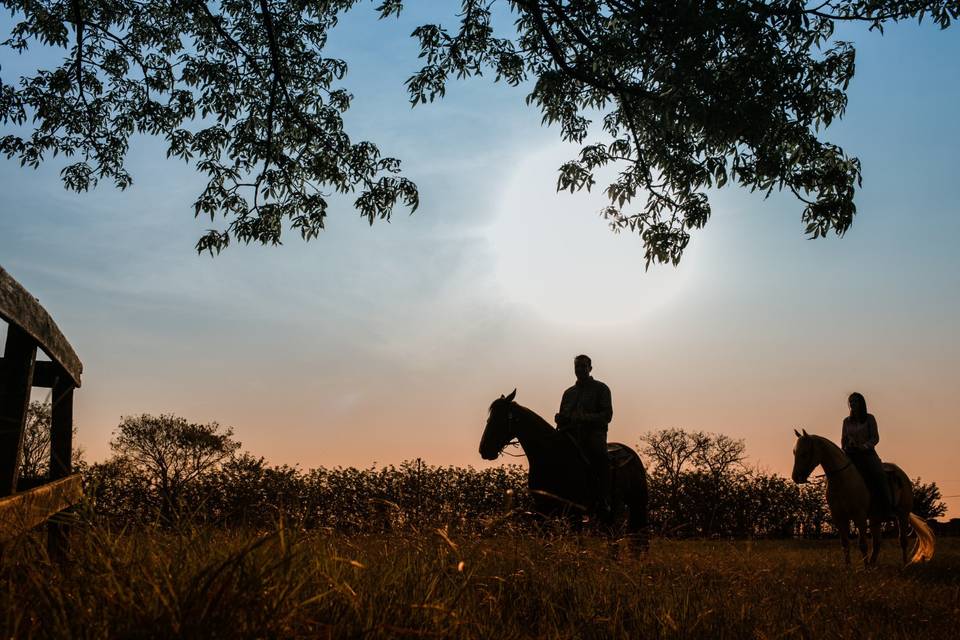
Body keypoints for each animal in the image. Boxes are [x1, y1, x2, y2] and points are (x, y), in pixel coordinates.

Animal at [478, 388, 648, 544]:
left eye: (500, 419)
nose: (484, 449)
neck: (553, 456)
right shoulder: (543, 511)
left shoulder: (575, 513)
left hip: (637, 504)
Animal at [792, 430, 932, 564]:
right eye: (794, 452)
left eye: (804, 453)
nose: (796, 477)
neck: (843, 479)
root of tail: (901, 474)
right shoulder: (839, 517)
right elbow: (845, 544)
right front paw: (849, 567)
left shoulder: (859, 516)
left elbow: (863, 544)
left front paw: (864, 568)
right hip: (876, 518)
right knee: (877, 543)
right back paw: (873, 565)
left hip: (903, 514)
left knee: (903, 541)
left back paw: (904, 565)